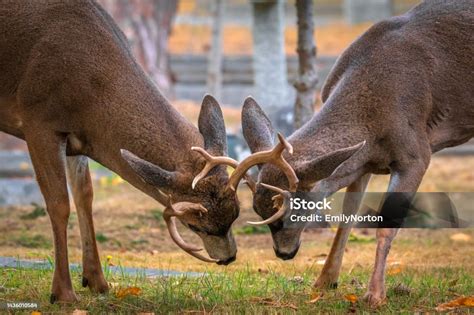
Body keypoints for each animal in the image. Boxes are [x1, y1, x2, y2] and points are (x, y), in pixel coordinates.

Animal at [0, 0, 262, 304]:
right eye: (195, 226)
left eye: (236, 213)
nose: (229, 258)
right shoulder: (37, 119)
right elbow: (58, 204)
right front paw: (63, 293)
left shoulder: (76, 136)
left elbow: (85, 196)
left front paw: (97, 281)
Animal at [193, 0, 474, 308]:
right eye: (257, 210)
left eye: (290, 214)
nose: (283, 254)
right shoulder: (362, 162)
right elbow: (347, 218)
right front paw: (325, 280)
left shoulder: (416, 154)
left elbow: (386, 224)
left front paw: (375, 294)